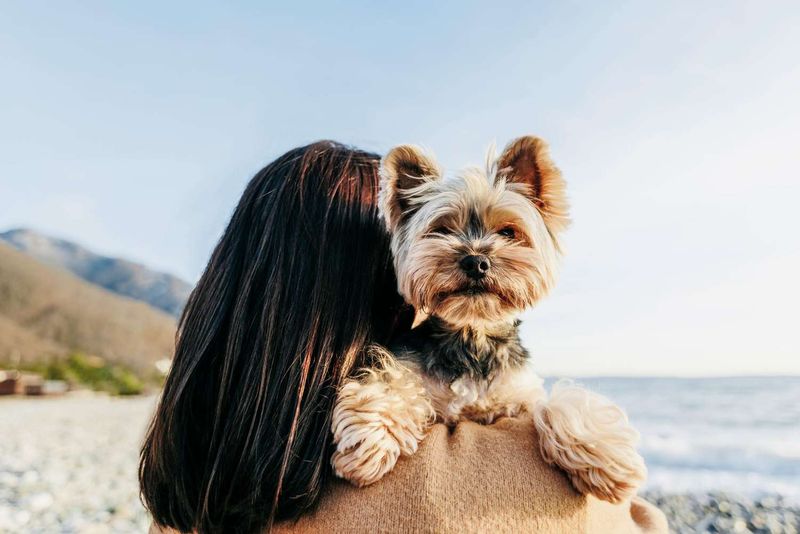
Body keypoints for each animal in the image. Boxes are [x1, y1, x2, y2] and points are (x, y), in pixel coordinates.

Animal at [328, 136, 648, 504]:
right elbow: (394, 383)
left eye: (508, 232)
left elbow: (552, 404)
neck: (473, 335)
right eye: (441, 230)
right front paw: (372, 437)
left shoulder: (519, 396)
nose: (475, 261)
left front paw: (604, 452)